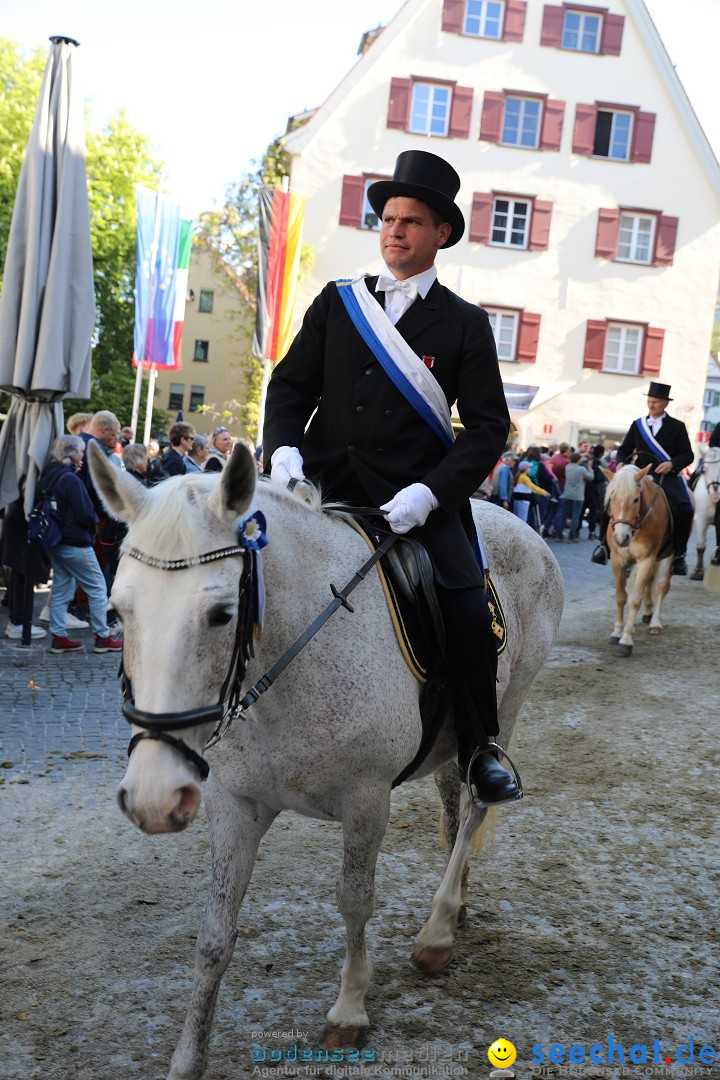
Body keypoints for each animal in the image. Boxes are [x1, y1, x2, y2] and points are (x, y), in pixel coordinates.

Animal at [88, 440, 561, 1080]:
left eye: (221, 614)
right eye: (116, 613)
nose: (154, 798)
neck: (280, 673)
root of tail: (514, 519)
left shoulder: (366, 800)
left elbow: (354, 900)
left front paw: (349, 1010)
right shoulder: (234, 804)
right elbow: (214, 935)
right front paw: (187, 1058)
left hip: (505, 708)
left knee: (475, 809)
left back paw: (437, 931)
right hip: (450, 739)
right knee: (452, 805)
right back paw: (455, 903)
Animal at [604, 460, 677, 652]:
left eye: (636, 499)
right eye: (611, 498)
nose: (621, 538)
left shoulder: (646, 560)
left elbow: (634, 600)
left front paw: (626, 640)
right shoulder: (617, 560)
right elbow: (620, 596)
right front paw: (617, 632)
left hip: (671, 554)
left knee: (662, 585)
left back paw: (655, 622)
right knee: (650, 581)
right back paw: (648, 612)